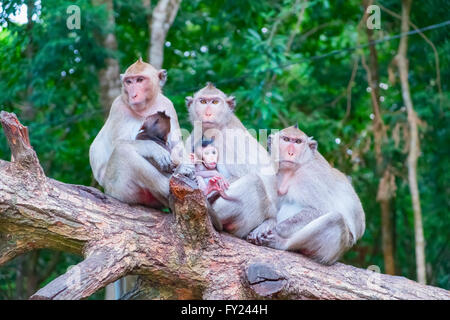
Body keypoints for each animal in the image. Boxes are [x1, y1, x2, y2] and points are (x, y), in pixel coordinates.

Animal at [89, 57, 192, 210]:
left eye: (140, 80)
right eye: (129, 82)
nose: (133, 95)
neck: (146, 108)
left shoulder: (168, 105)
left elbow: (176, 144)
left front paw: (186, 164)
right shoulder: (118, 107)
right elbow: (118, 144)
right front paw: (155, 149)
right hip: (118, 189)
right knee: (123, 152)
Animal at [184, 82, 278, 238]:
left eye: (215, 102)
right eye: (203, 101)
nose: (208, 113)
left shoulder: (229, 139)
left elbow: (238, 175)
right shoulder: (194, 135)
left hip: (247, 222)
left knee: (253, 181)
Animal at [246, 125, 366, 264]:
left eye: (298, 142)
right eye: (286, 139)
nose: (291, 153)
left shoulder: (309, 177)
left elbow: (322, 210)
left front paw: (271, 228)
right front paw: (266, 224)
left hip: (336, 249)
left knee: (336, 219)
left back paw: (282, 243)